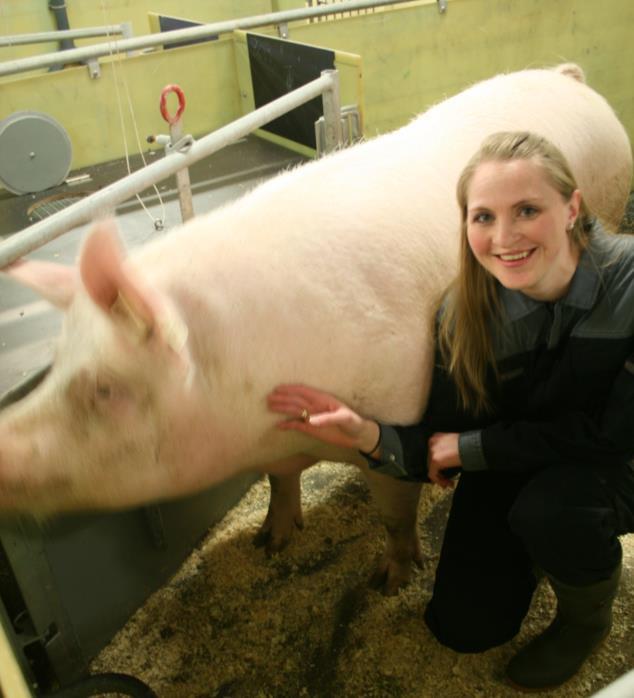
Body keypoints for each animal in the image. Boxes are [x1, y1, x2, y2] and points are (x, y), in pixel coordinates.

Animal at [1, 62, 632, 588]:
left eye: (105, 387)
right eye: (55, 366)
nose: (5, 438)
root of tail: (566, 76)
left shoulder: (402, 406)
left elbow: (394, 507)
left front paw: (390, 582)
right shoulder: (268, 447)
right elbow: (280, 484)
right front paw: (269, 543)